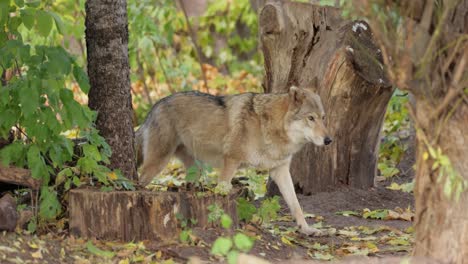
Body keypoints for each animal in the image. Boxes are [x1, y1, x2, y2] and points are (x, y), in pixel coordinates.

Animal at [135, 82, 332, 235]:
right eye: (310, 118)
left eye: (323, 118)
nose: (329, 140)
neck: (269, 126)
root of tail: (154, 107)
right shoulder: (231, 162)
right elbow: (221, 192)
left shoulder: (280, 170)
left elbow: (296, 205)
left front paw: (306, 229)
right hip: (157, 164)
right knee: (139, 182)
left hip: (195, 169)